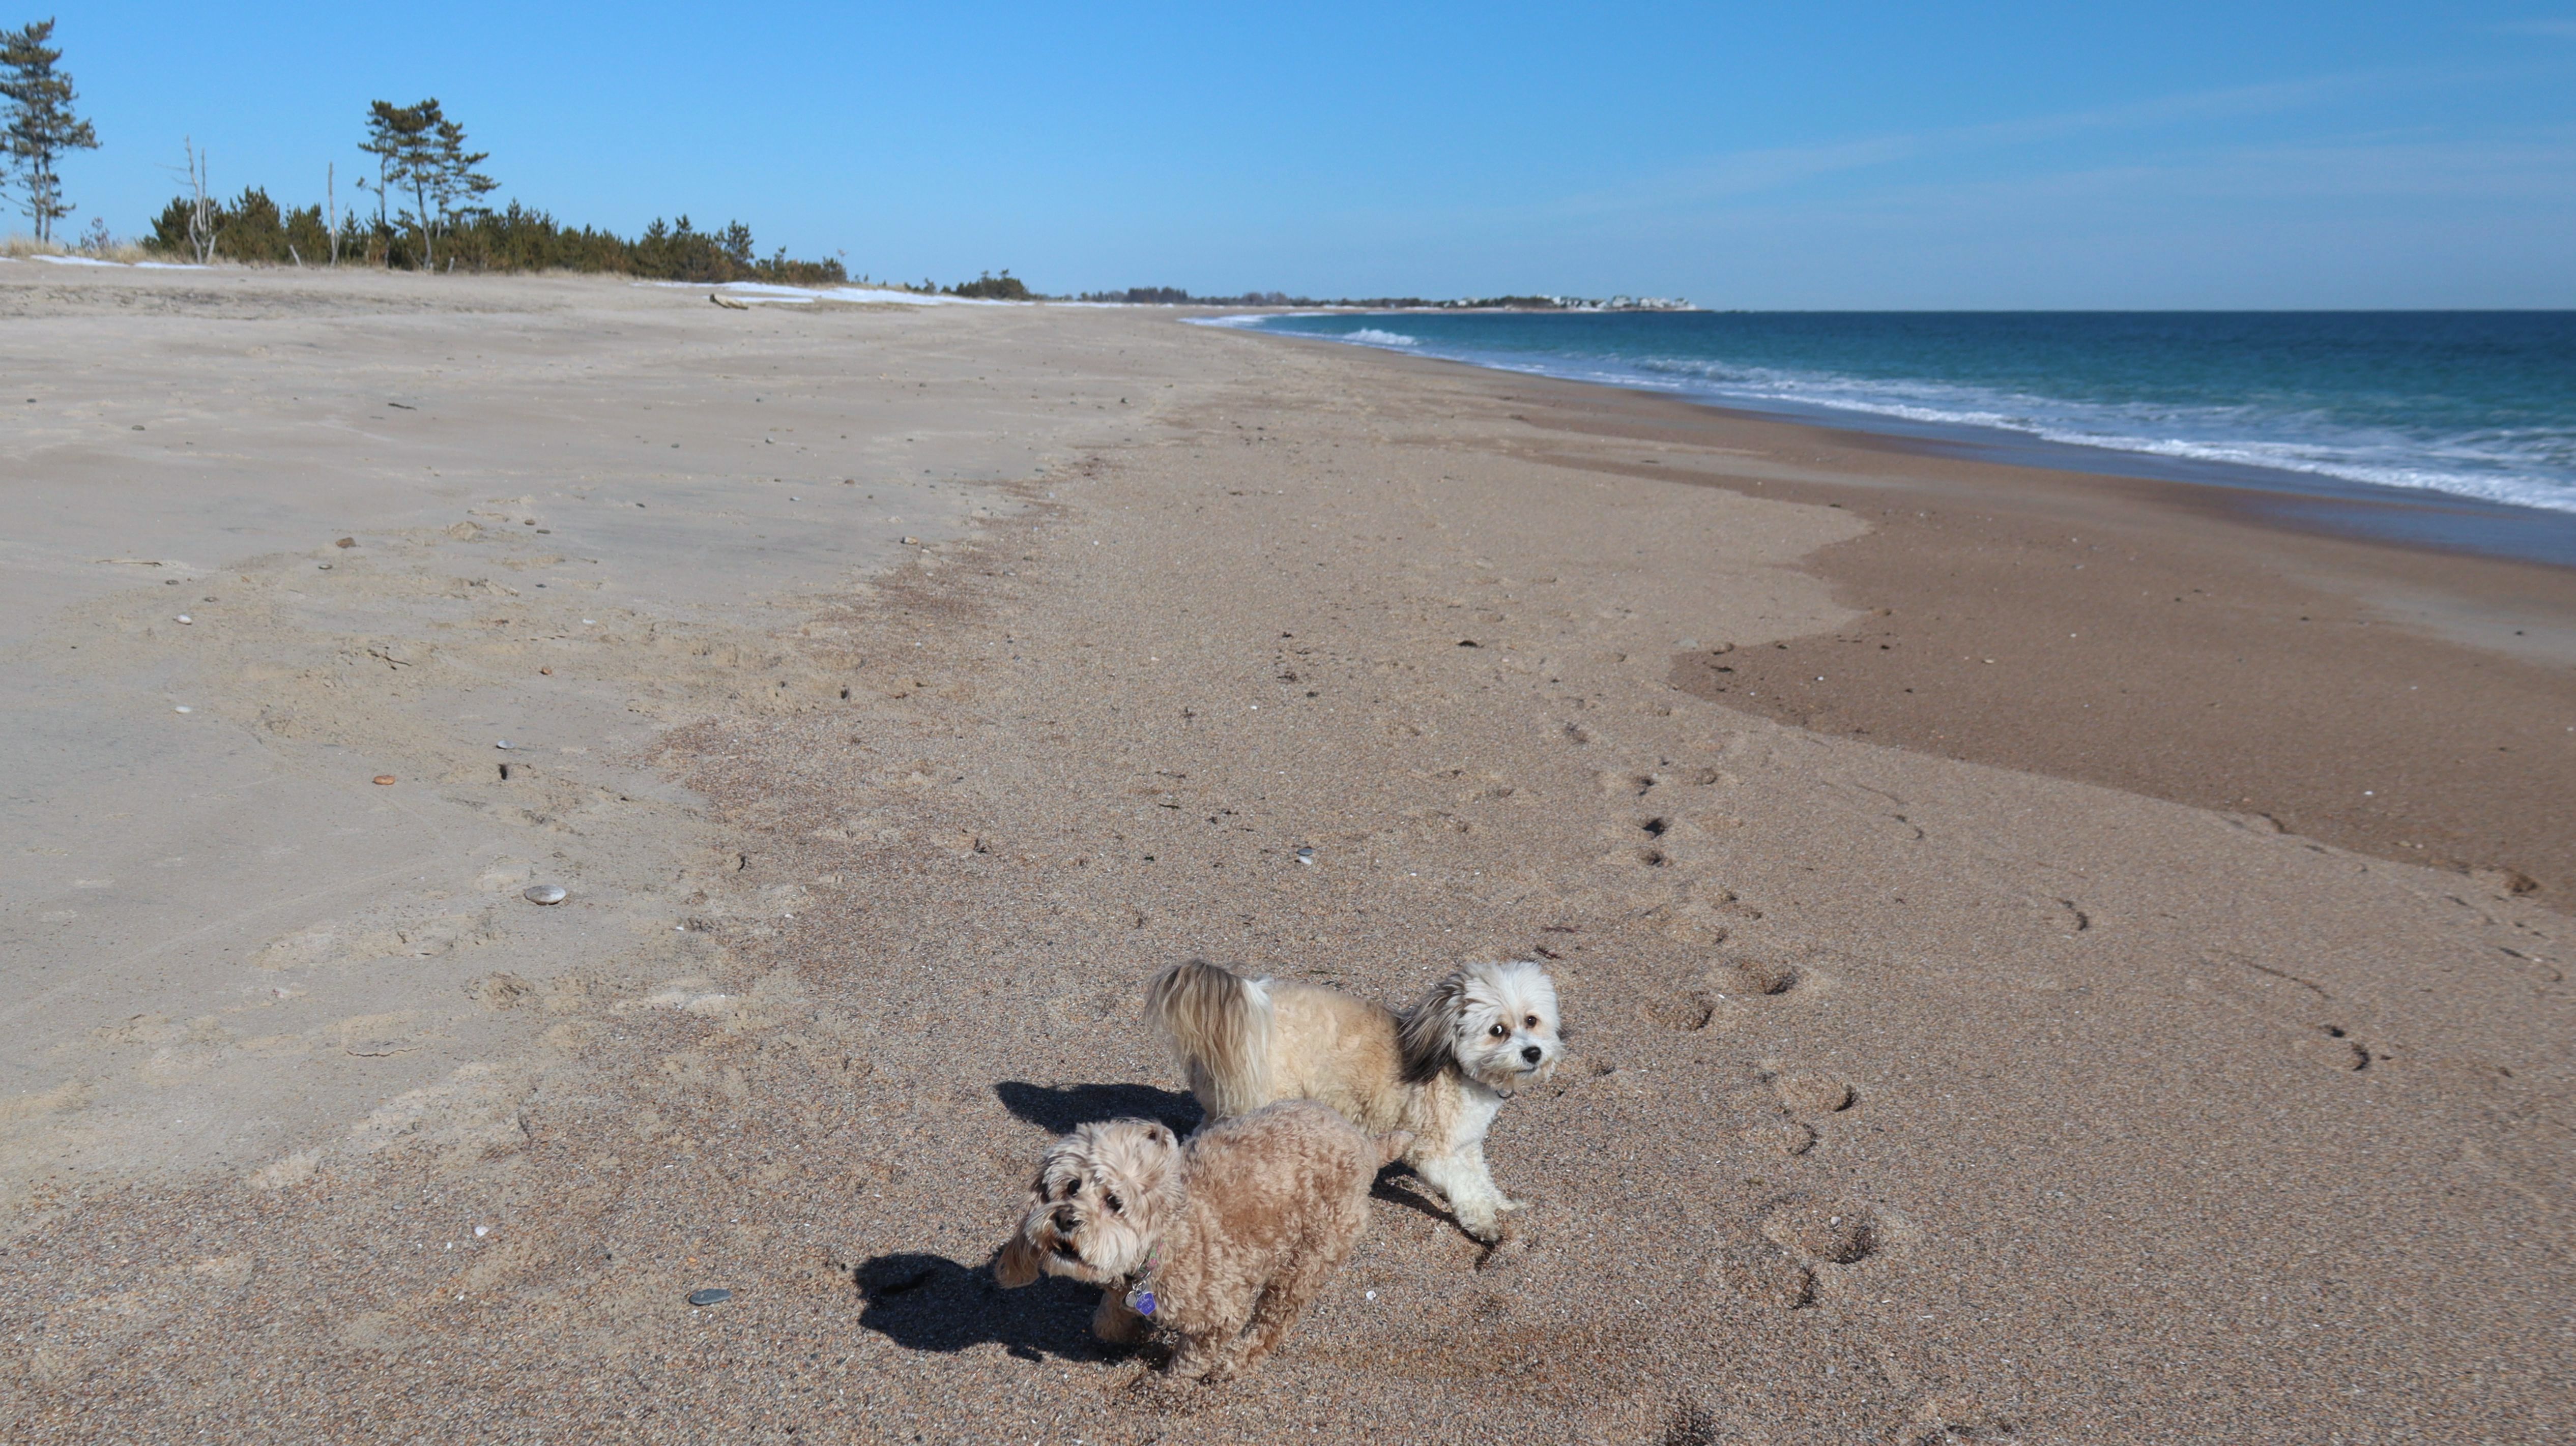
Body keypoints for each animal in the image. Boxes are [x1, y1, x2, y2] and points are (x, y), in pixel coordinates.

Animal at [996, 1101, 1408, 1381]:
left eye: (1114, 1201)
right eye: (1071, 1186)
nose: (1065, 1218)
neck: (1164, 1242)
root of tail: (1365, 1144)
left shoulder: (1221, 1312)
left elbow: (1190, 1358)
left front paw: (1167, 1383)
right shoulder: (1121, 1290)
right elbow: (1106, 1323)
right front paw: (1133, 1332)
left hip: (1309, 1256)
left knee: (1275, 1320)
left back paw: (1235, 1362)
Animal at [1144, 958, 1561, 1243]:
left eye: (1532, 1020)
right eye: (1497, 1030)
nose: (1533, 1052)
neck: (1452, 1063)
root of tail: (1249, 1002)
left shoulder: (1468, 1144)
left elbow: (1481, 1179)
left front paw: (1501, 1204)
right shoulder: (1432, 1152)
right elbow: (1465, 1189)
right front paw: (1484, 1223)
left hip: (1229, 1103)